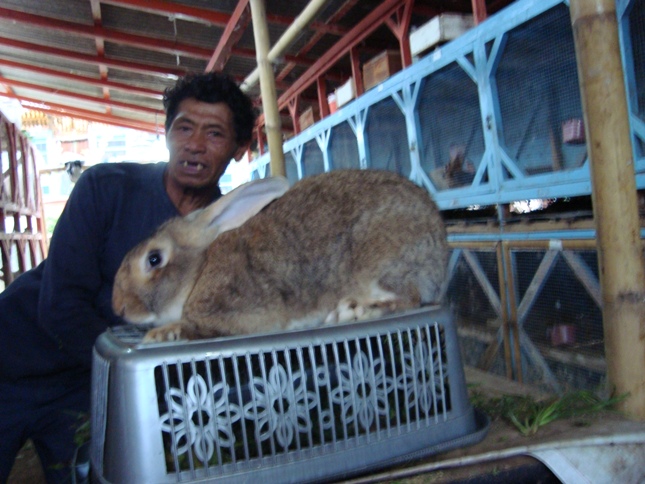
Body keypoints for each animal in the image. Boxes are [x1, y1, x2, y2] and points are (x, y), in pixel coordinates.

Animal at [112, 169, 448, 342]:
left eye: (154, 259)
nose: (118, 307)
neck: (200, 271)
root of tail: (440, 248)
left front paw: (161, 334)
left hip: (379, 262)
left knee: (409, 298)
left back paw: (355, 311)